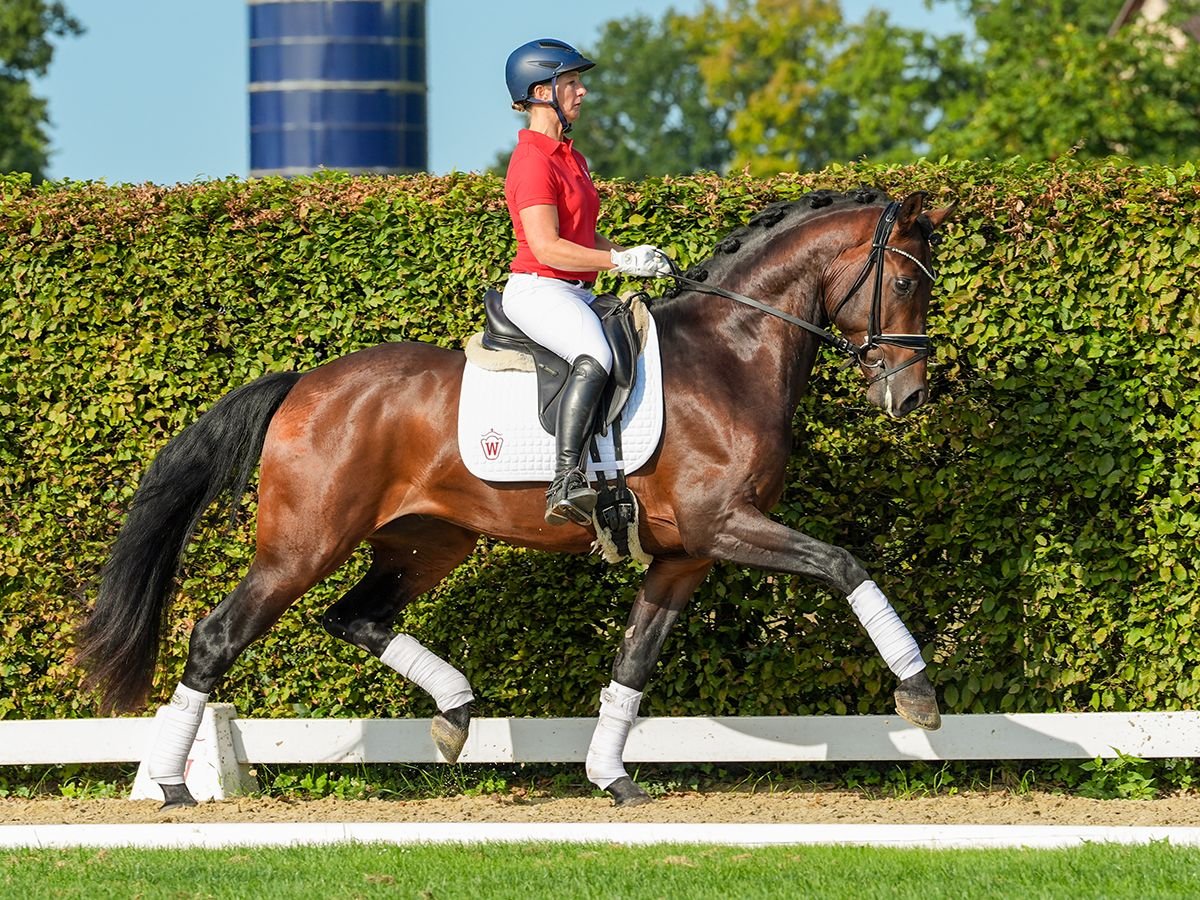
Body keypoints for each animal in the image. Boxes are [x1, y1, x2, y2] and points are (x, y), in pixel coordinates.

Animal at [75, 190, 955, 811]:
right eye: (904, 282)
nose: (911, 396)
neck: (730, 356)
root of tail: (304, 384)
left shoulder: (685, 555)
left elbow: (633, 661)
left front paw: (609, 776)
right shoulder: (726, 526)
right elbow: (844, 564)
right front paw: (918, 693)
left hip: (429, 540)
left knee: (358, 616)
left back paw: (456, 713)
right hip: (302, 546)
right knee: (218, 636)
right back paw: (171, 784)